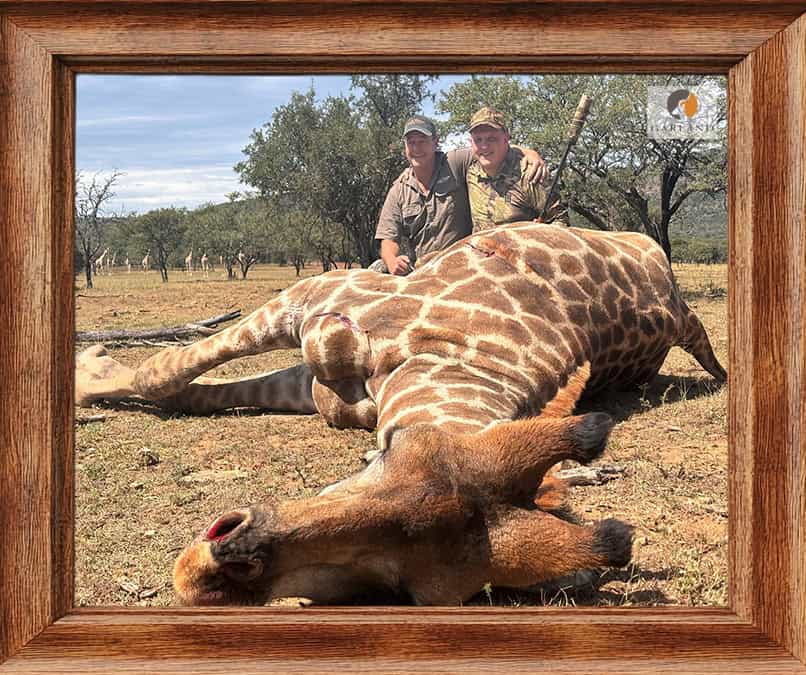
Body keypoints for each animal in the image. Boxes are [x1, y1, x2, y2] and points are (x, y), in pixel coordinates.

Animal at [75, 222, 726, 605]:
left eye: (399, 587)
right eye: (384, 456)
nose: (205, 572)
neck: (449, 358)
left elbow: (176, 382)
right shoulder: (313, 302)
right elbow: (169, 376)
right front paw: (92, 363)